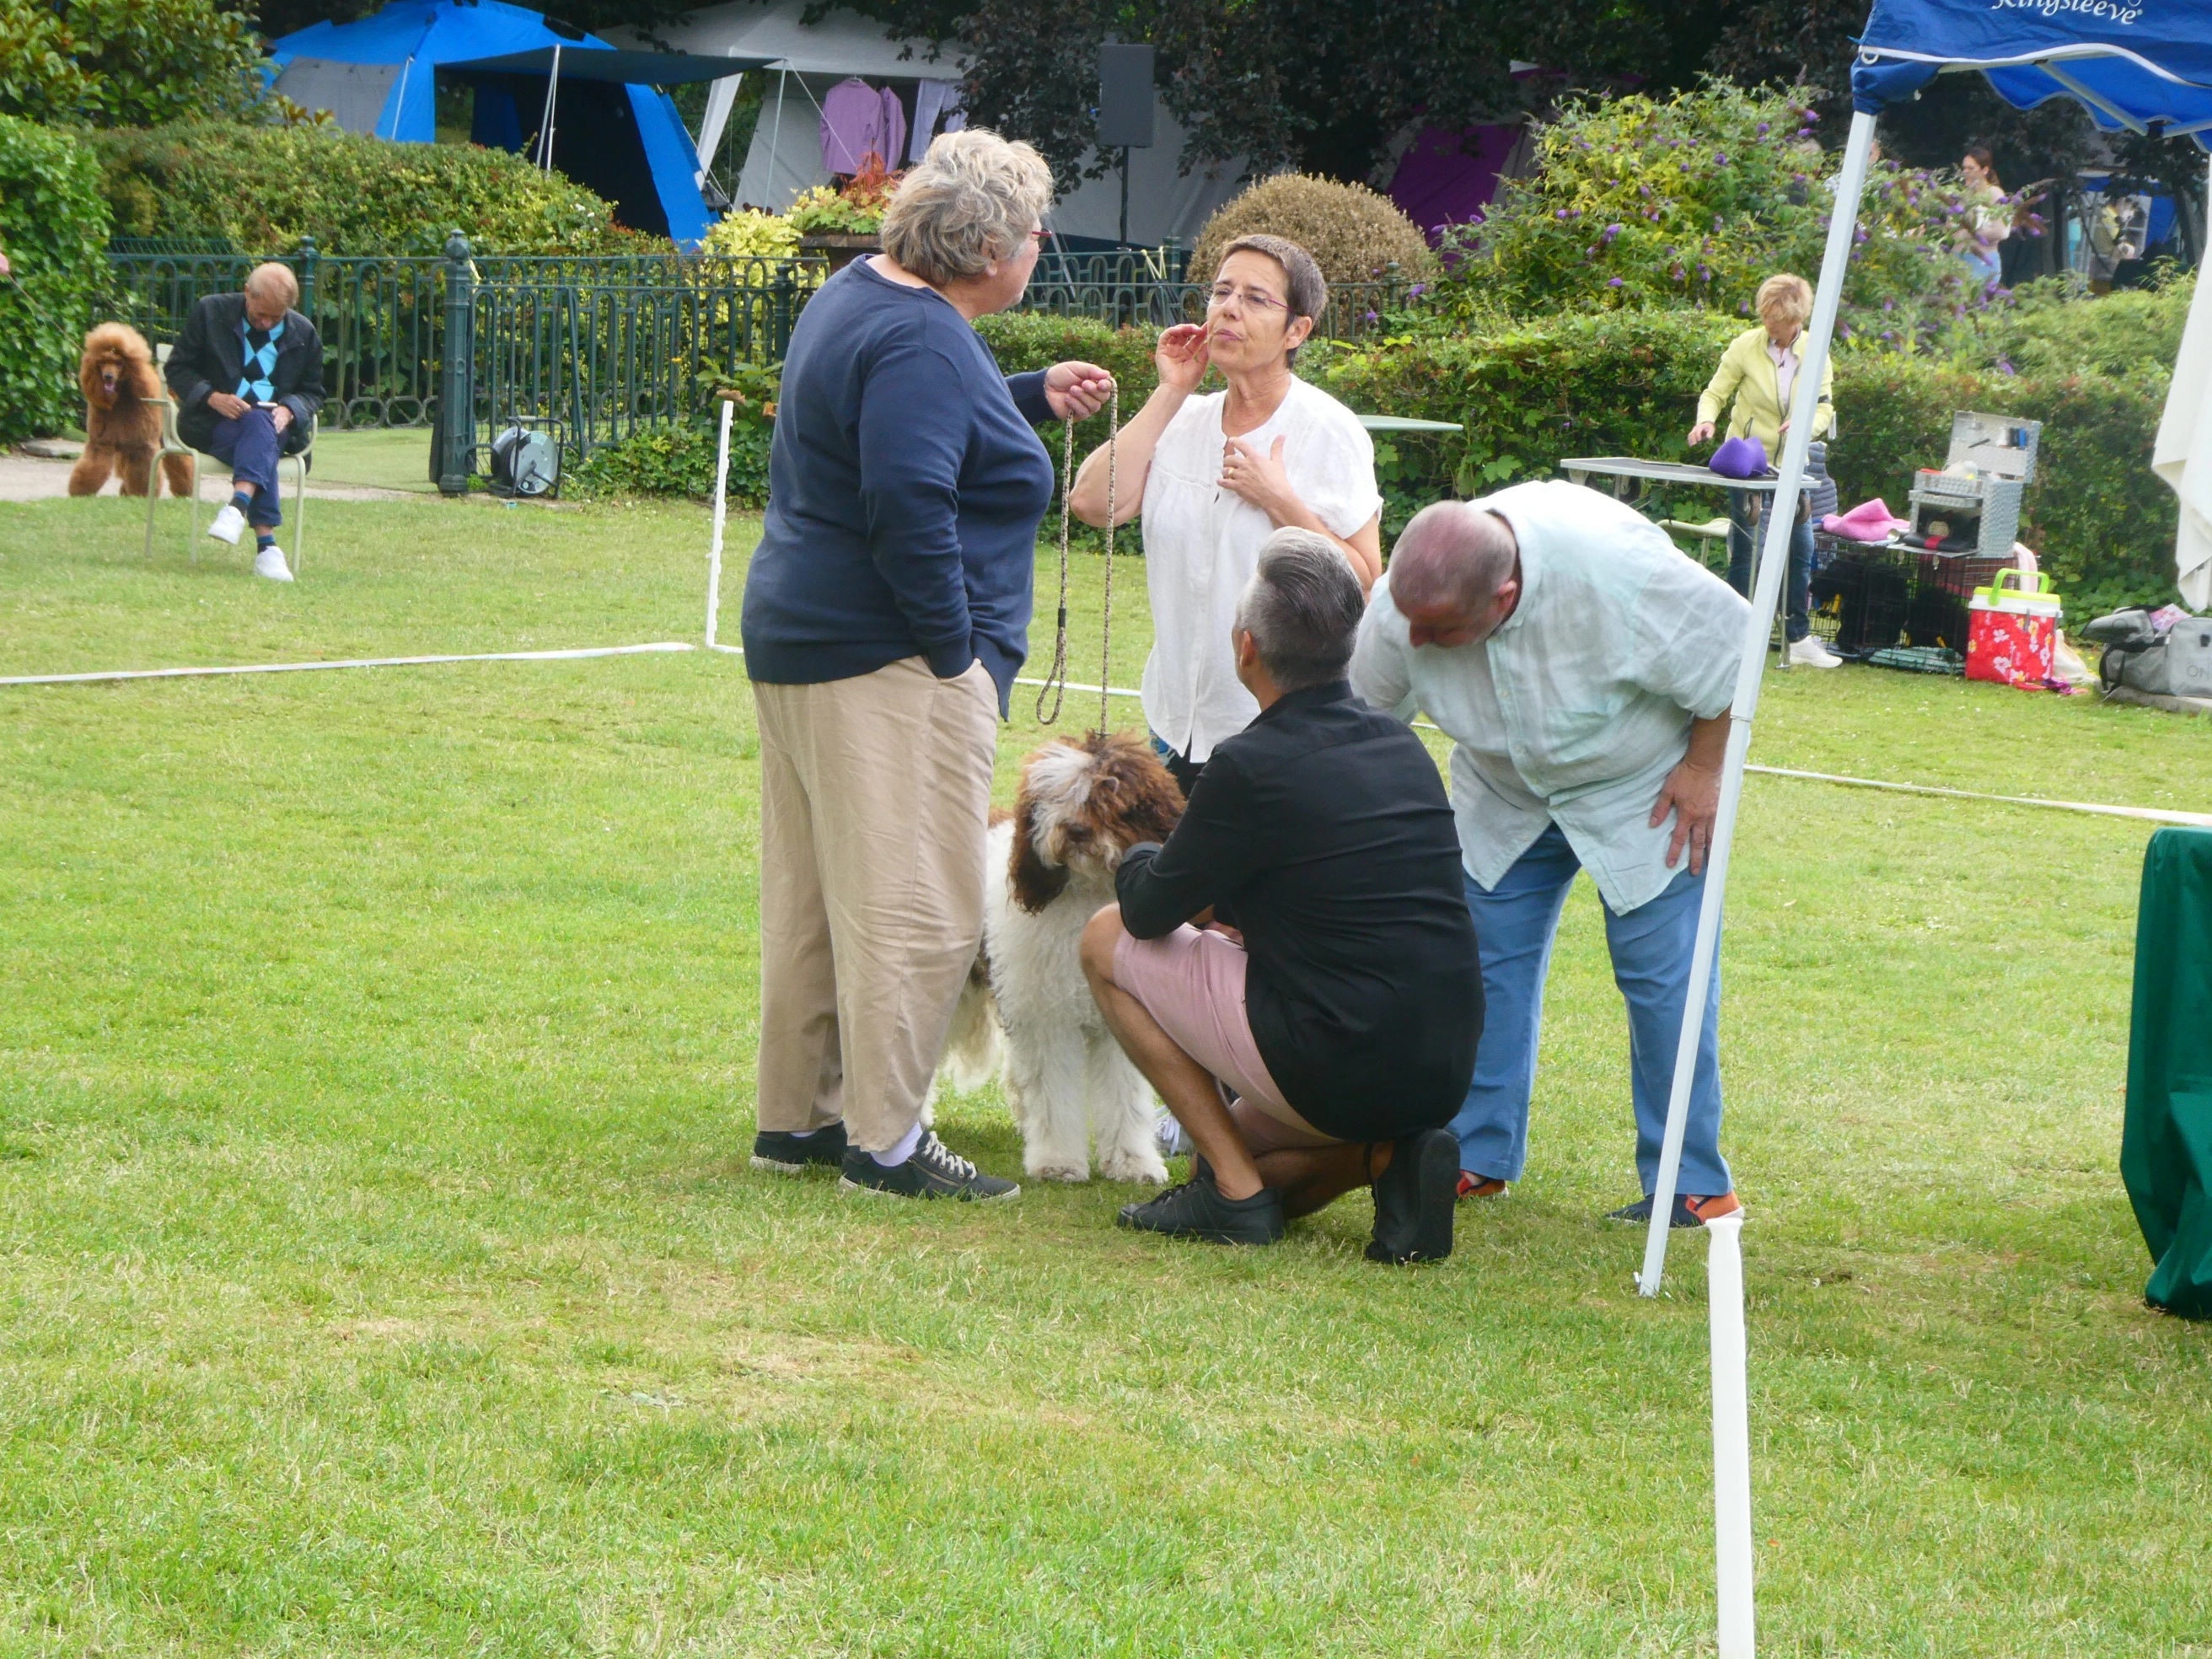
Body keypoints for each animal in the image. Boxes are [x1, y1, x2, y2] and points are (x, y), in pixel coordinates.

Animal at [68, 325, 194, 504]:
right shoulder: (101, 443)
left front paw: (141, 494)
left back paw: (185, 491)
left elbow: (144, 471)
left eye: (119, 363)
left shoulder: (142, 445)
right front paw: (81, 492)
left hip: (167, 436)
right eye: (102, 362)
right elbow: (92, 465)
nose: (108, 377)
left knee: (180, 460)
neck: (120, 398)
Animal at [937, 734, 1185, 1185]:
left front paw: (1132, 1162)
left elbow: (1125, 1097)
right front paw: (1058, 1161)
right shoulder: (1047, 1019)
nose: (1075, 830)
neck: (1088, 894)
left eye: (1112, 796)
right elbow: (1054, 1093)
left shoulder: (1114, 1022)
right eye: (1056, 798)